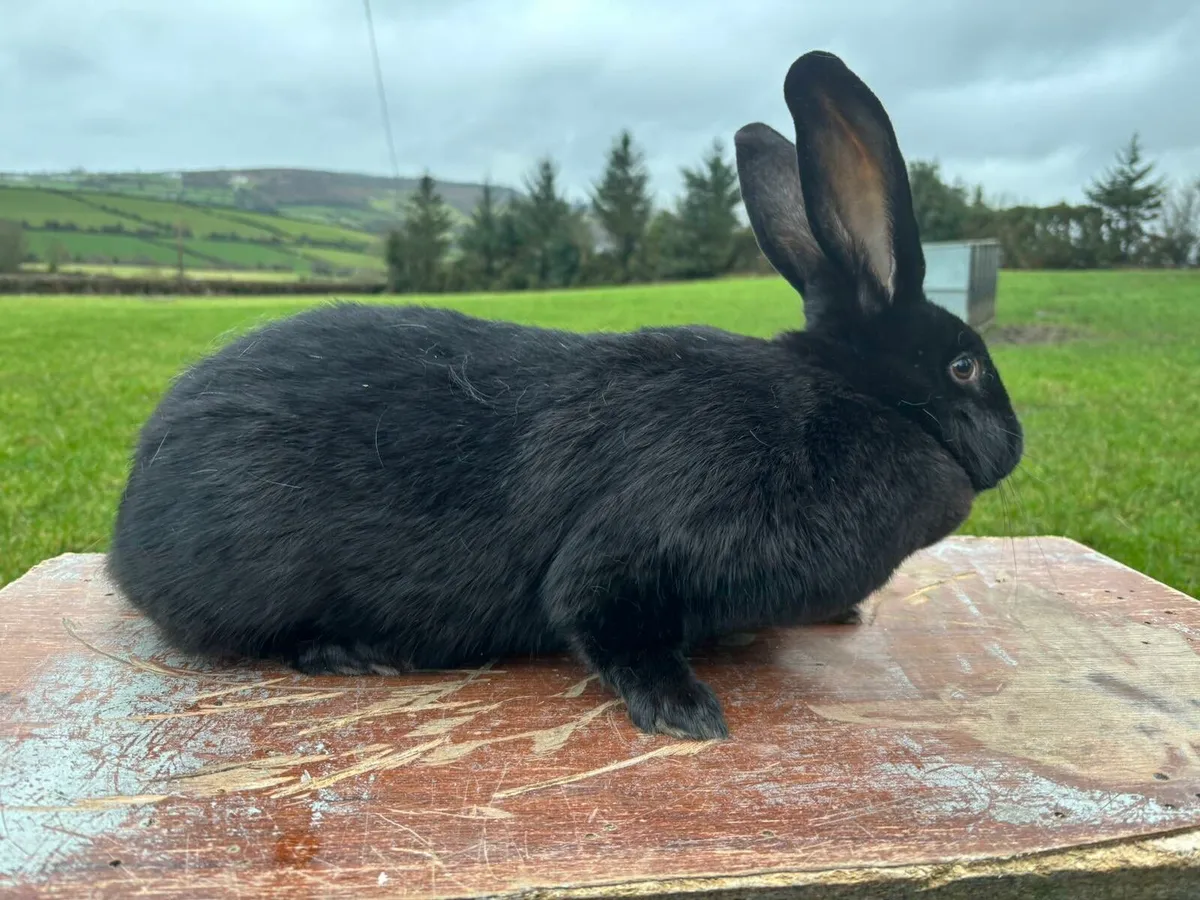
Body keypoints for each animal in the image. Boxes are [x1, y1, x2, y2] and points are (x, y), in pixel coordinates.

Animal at [106, 49, 1023, 742]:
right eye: (964, 367)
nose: (1015, 445)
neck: (851, 401)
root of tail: (127, 529)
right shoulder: (639, 548)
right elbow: (601, 618)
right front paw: (688, 714)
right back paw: (351, 651)